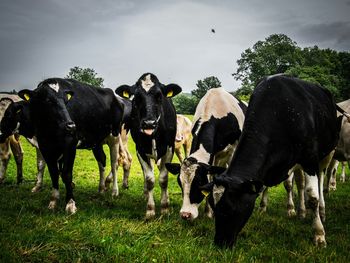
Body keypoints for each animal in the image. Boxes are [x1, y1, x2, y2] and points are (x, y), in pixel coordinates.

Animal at [17, 78, 125, 214]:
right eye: (47, 100)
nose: (71, 125)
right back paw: (101, 189)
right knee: (102, 159)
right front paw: (53, 201)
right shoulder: (44, 146)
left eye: (66, 100)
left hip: (114, 136)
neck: (50, 131)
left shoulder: (70, 144)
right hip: (96, 140)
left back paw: (114, 191)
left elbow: (66, 173)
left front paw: (70, 203)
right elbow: (54, 173)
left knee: (114, 162)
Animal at [115, 73, 182, 220]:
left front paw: (165, 208)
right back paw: (146, 194)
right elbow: (150, 179)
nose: (149, 123)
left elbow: (163, 179)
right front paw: (150, 210)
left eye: (159, 95)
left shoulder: (169, 149)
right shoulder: (140, 150)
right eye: (137, 97)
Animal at [166, 88, 246, 221]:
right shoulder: (212, 156)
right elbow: (211, 177)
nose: (185, 215)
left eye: (199, 184)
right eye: (180, 183)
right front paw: (209, 212)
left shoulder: (233, 151)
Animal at [201, 75, 344, 249]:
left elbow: (313, 196)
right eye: (213, 205)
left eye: (229, 208)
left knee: (321, 180)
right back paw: (302, 211)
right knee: (300, 183)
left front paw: (319, 234)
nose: (220, 243)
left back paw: (321, 211)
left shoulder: (310, 159)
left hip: (328, 152)